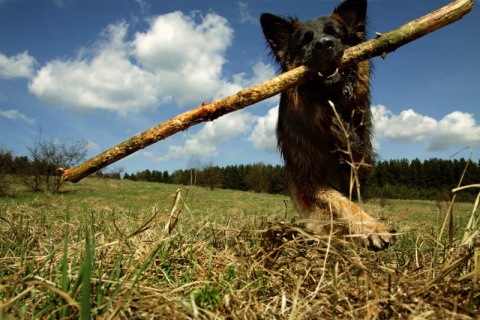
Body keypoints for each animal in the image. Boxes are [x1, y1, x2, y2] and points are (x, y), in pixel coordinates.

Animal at [260, 0, 396, 250]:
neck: (330, 108)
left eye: (336, 34)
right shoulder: (307, 180)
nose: (324, 44)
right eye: (305, 41)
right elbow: (340, 204)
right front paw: (372, 228)